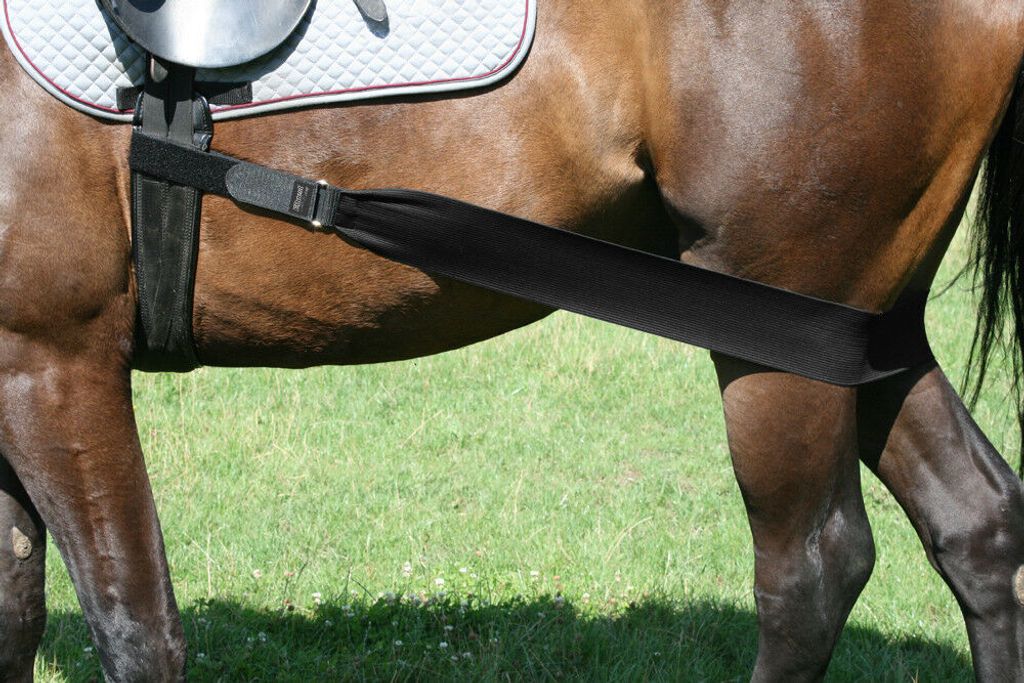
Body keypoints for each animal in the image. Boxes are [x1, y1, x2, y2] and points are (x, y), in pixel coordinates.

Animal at [1, 0, 1023, 680]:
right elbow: (18, 610)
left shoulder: (55, 362)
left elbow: (136, 626)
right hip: (863, 330)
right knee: (979, 520)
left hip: (783, 339)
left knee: (811, 572)